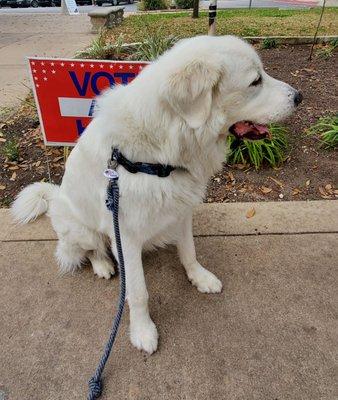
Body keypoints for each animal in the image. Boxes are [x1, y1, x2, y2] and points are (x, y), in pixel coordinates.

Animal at [11, 34, 302, 354]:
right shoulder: (125, 236)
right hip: (81, 229)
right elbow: (138, 292)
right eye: (255, 81)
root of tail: (54, 196)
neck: (160, 150)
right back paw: (102, 265)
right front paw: (142, 331)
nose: (299, 97)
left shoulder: (181, 212)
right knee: (89, 249)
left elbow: (189, 251)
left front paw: (199, 277)